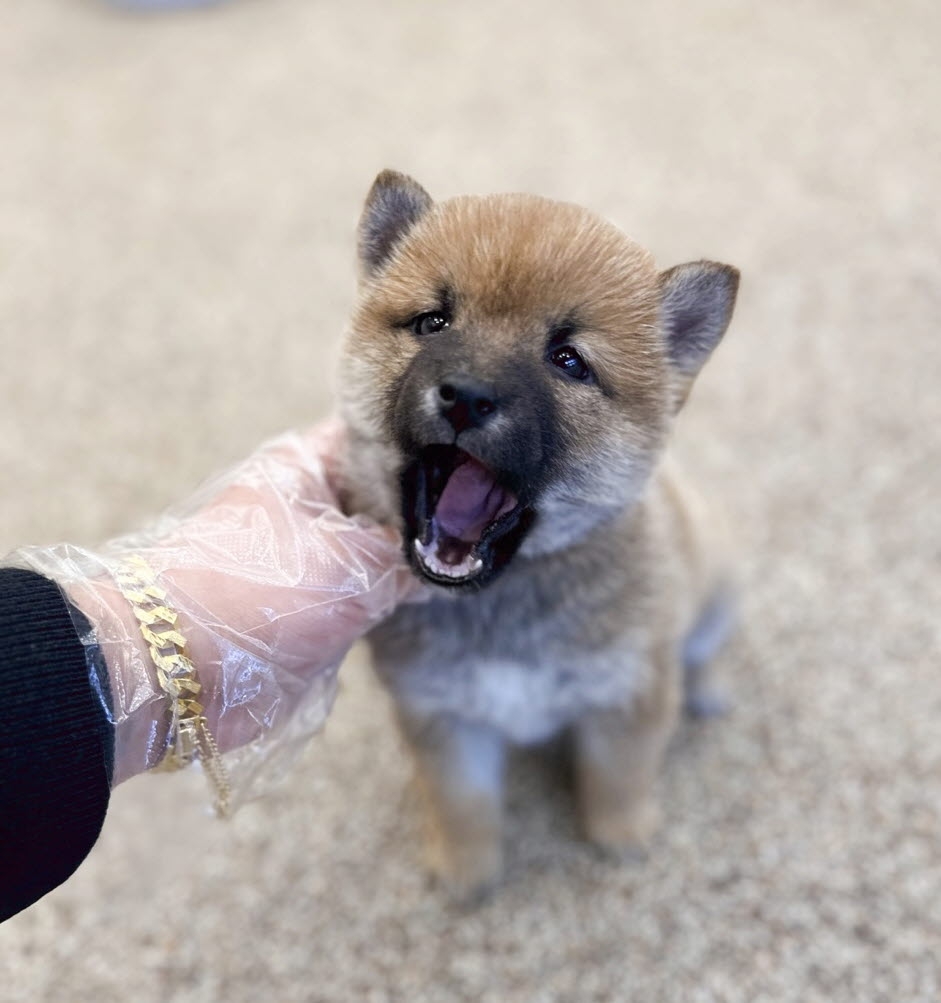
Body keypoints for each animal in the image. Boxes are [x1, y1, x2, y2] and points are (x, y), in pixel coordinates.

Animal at [339, 172, 742, 902]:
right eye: (432, 322)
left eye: (569, 361)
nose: (467, 395)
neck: (503, 602)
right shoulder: (444, 718)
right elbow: (463, 806)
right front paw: (467, 873)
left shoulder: (626, 695)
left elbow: (617, 779)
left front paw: (622, 838)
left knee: (701, 652)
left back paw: (707, 687)